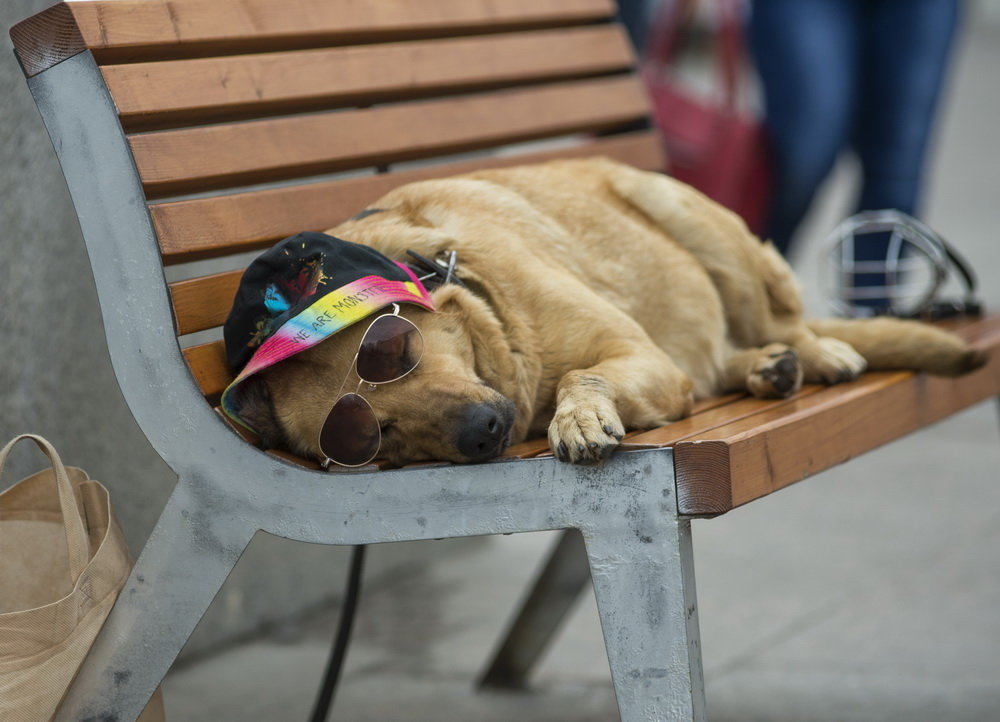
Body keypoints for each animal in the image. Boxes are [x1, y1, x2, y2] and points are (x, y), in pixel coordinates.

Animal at [238, 156, 988, 466]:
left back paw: (813, 352)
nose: (483, 433)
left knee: (783, 324)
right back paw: (766, 369)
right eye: (376, 436)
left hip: (689, 216)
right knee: (723, 361)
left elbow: (582, 374)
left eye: (391, 351)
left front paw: (578, 417)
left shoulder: (639, 355)